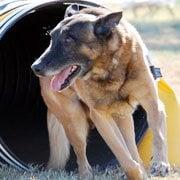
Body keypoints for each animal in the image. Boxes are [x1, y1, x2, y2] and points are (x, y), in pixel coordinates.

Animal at [31, 4, 170, 179]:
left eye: (68, 39)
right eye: (52, 38)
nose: (35, 67)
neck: (110, 67)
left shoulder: (152, 103)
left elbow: (158, 135)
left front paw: (160, 163)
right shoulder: (101, 118)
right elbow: (123, 155)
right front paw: (136, 171)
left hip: (123, 119)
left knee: (132, 148)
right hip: (74, 121)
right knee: (81, 154)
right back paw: (86, 174)